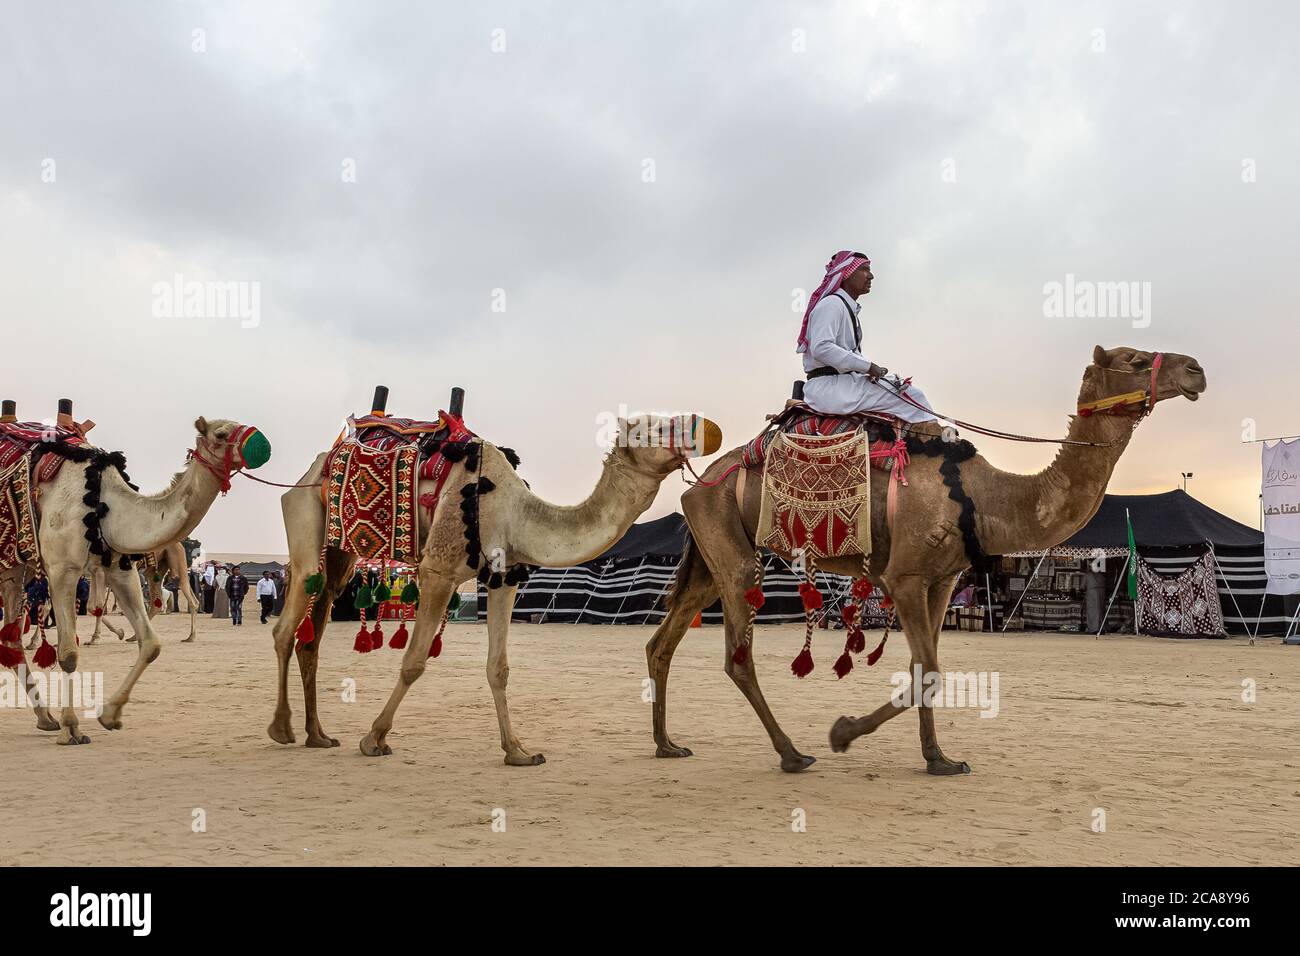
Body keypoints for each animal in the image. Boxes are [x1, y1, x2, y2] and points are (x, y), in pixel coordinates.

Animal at [0, 416, 269, 743]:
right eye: (220, 433)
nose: (262, 443)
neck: (102, 501)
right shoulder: (63, 568)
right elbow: (69, 652)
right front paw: (71, 728)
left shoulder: (119, 568)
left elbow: (151, 643)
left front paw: (109, 715)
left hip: (17, 568)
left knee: (11, 638)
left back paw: (45, 718)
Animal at [644, 348, 1201, 775]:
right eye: (1134, 360)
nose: (1195, 369)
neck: (983, 497)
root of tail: (698, 481)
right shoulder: (906, 577)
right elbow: (926, 667)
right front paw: (842, 733)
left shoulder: (943, 579)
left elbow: (926, 668)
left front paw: (939, 759)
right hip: (733, 550)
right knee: (737, 656)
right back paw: (792, 754)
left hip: (712, 552)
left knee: (662, 641)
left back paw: (667, 745)